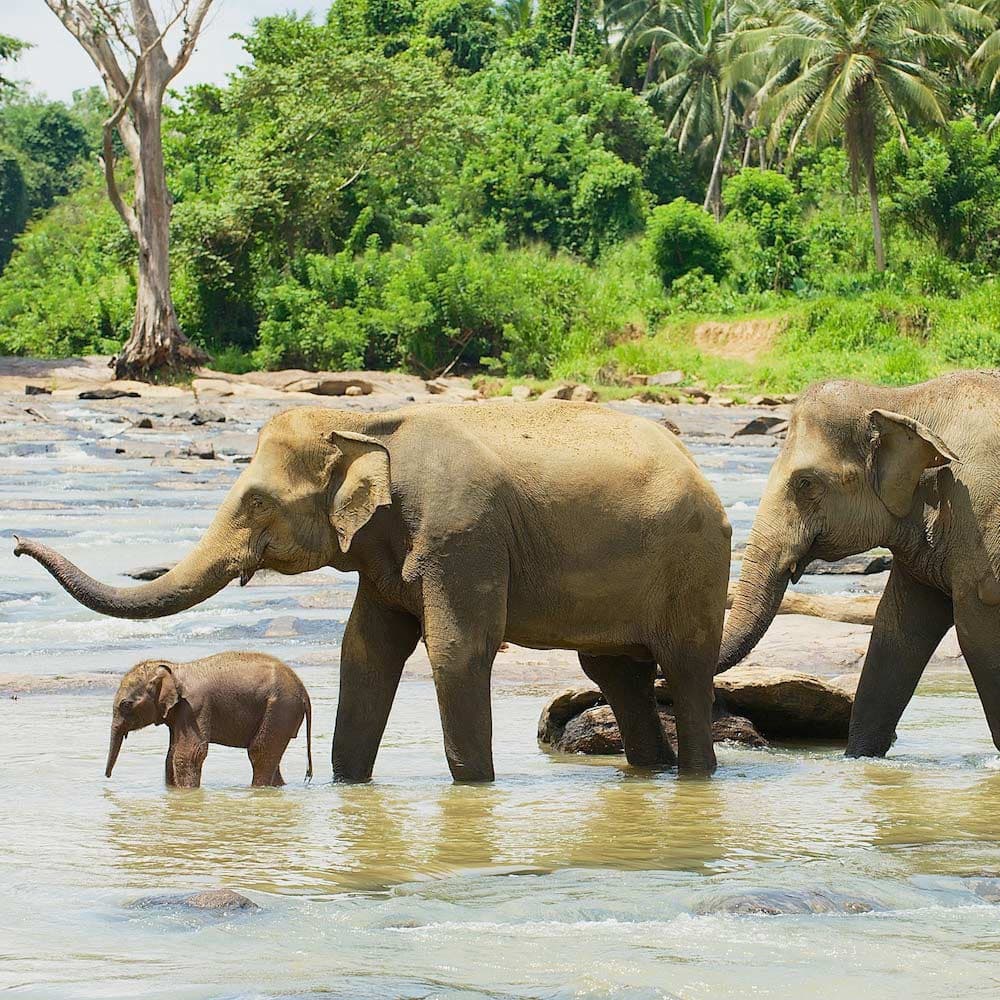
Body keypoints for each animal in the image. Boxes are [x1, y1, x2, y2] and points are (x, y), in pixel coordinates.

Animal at [105, 652, 312, 788]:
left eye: (125, 705)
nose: (107, 776)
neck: (175, 669)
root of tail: (304, 692)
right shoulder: (178, 713)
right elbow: (171, 754)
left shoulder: (195, 707)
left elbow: (189, 754)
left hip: (281, 709)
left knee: (260, 752)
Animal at [720, 372, 1000, 758]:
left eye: (805, 483)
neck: (903, 400)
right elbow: (896, 630)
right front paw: (858, 758)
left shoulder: (981, 519)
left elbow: (977, 635)